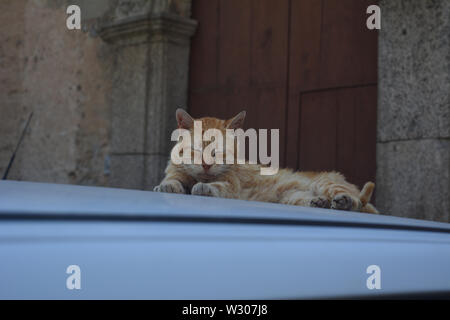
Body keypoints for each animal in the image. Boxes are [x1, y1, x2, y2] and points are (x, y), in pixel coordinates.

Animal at [155, 109, 380, 214]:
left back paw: (344, 201)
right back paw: (319, 202)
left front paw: (203, 187)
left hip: (326, 183)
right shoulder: (176, 173)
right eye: (197, 149)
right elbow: (173, 180)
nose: (206, 165)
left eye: (220, 152)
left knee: (358, 203)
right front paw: (167, 186)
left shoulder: (231, 186)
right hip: (292, 197)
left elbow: (216, 186)